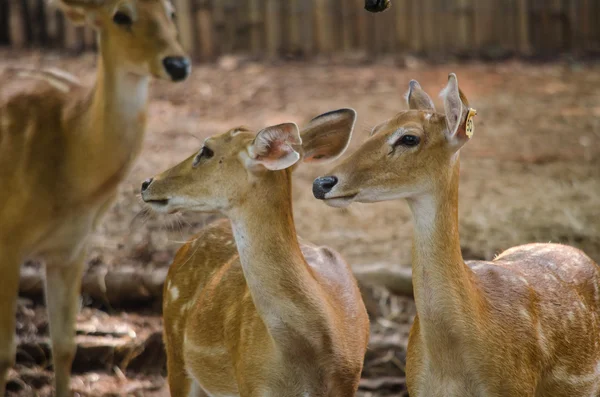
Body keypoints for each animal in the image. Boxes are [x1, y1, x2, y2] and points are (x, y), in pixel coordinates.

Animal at [0, 0, 190, 392]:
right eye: (121, 15)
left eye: (171, 11)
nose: (178, 64)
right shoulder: (7, 241)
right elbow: (5, 353)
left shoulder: (72, 248)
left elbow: (64, 346)